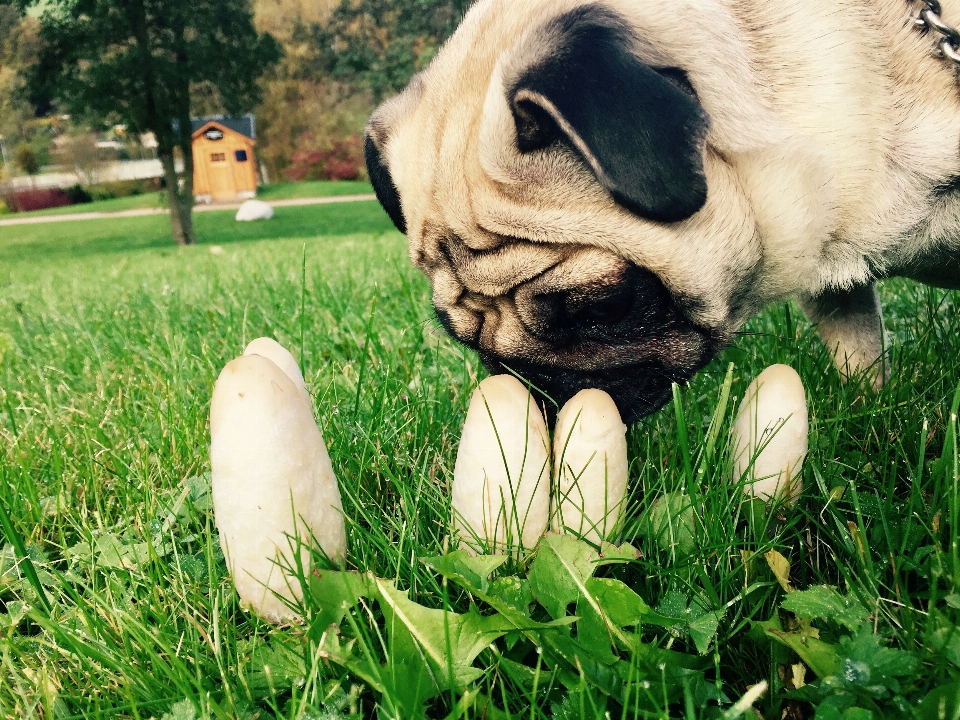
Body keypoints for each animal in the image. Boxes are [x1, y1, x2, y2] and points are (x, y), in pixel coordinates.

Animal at [364, 0, 960, 422]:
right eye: (462, 339)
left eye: (603, 307)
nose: (541, 390)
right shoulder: (838, 291)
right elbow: (860, 358)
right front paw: (872, 414)